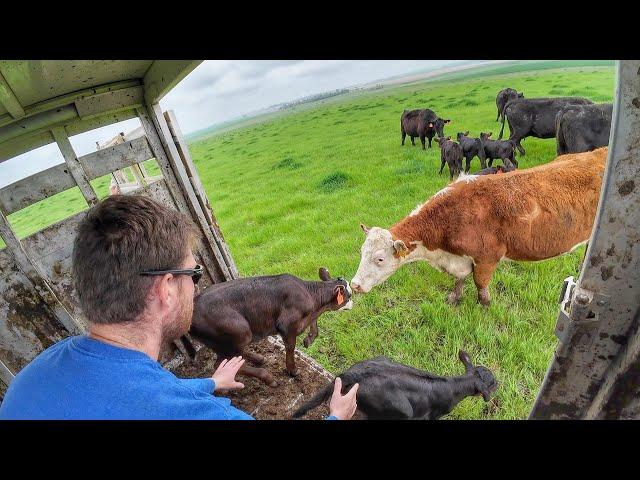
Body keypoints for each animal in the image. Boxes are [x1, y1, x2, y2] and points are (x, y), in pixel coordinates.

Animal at [292, 348, 498, 420]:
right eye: (493, 383)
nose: (499, 383)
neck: (455, 385)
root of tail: (353, 373)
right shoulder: (435, 414)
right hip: (399, 410)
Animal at [348, 146, 608, 306]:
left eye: (380, 259)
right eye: (361, 253)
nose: (354, 284)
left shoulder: (487, 257)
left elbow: (480, 284)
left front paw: (486, 304)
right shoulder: (460, 260)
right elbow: (460, 280)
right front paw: (454, 298)